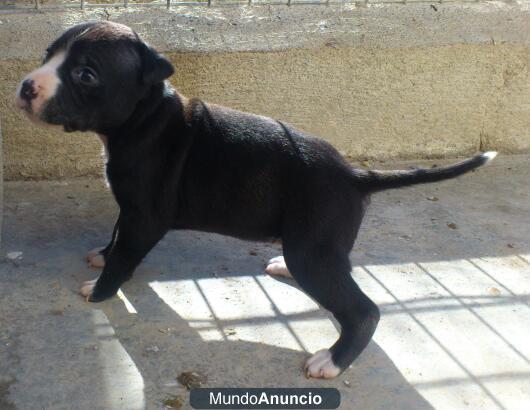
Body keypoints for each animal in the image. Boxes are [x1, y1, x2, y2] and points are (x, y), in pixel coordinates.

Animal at [16, 21, 496, 378]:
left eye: (86, 74)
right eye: (47, 55)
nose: (25, 87)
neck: (143, 116)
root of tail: (353, 175)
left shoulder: (146, 216)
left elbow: (124, 255)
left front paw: (101, 289)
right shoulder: (130, 208)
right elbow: (116, 236)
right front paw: (102, 254)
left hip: (313, 253)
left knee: (364, 311)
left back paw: (332, 361)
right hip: (319, 247)